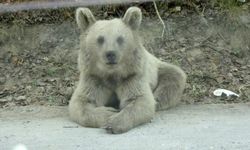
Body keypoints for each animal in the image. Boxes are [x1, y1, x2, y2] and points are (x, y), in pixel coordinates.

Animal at [68, 6, 186, 134]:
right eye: (100, 39)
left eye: (120, 39)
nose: (111, 54)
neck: (112, 74)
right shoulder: (94, 77)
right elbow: (80, 102)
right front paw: (108, 113)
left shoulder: (132, 76)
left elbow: (140, 100)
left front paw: (113, 123)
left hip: (159, 69)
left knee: (173, 79)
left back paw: (158, 99)